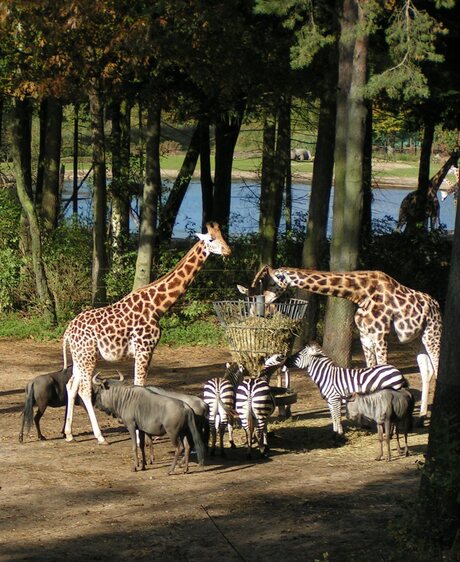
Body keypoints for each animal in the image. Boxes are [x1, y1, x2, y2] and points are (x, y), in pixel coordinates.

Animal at [63, 220, 232, 442]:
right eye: (212, 239)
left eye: (223, 236)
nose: (228, 251)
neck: (157, 306)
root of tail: (67, 332)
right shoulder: (145, 349)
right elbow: (141, 386)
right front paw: (140, 433)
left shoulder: (146, 351)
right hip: (88, 357)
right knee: (83, 390)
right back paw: (100, 437)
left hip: (80, 357)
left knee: (71, 386)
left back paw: (68, 434)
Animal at [239, 264, 440, 418]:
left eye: (272, 283)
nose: (256, 311)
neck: (360, 293)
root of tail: (436, 304)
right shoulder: (366, 337)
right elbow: (372, 373)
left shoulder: (380, 334)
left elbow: (383, 371)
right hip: (416, 340)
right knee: (427, 371)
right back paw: (422, 416)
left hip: (432, 333)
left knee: (437, 368)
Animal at [264, 342, 408, 438]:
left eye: (299, 354)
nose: (285, 361)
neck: (326, 375)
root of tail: (396, 370)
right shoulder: (329, 400)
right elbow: (333, 415)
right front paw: (334, 432)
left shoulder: (335, 398)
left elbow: (337, 416)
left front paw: (339, 434)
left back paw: (390, 435)